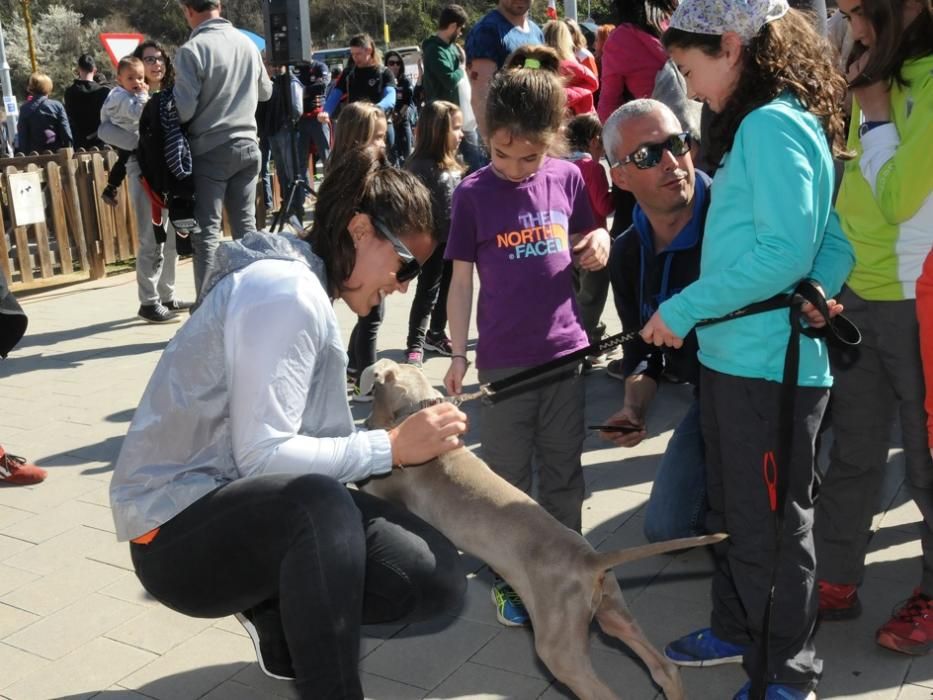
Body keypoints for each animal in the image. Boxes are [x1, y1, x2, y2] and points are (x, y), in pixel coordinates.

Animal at [360, 360, 724, 700]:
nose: (365, 426)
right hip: (613, 610)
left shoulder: (381, 486)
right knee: (664, 669)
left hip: (558, 643)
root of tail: (590, 559)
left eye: (374, 393)